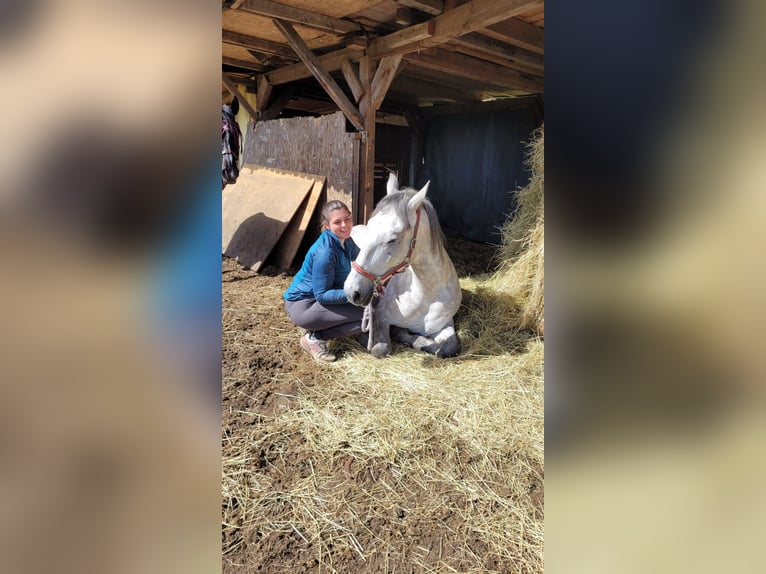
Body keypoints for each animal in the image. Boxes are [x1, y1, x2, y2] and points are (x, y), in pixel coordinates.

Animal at [346, 173, 462, 358]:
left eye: (392, 239)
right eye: (370, 228)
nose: (352, 291)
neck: (425, 296)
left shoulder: (445, 324)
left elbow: (449, 348)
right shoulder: (379, 316)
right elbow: (380, 348)